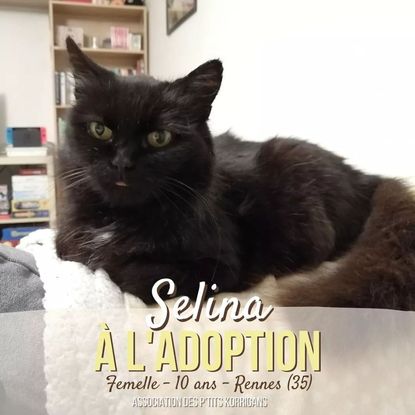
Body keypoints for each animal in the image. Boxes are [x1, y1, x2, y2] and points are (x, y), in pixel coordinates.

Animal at [56, 37, 415, 309]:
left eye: (160, 137)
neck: (119, 217)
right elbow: (72, 251)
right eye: (100, 130)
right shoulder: (67, 239)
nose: (122, 163)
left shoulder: (219, 267)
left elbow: (124, 272)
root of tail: (367, 177)